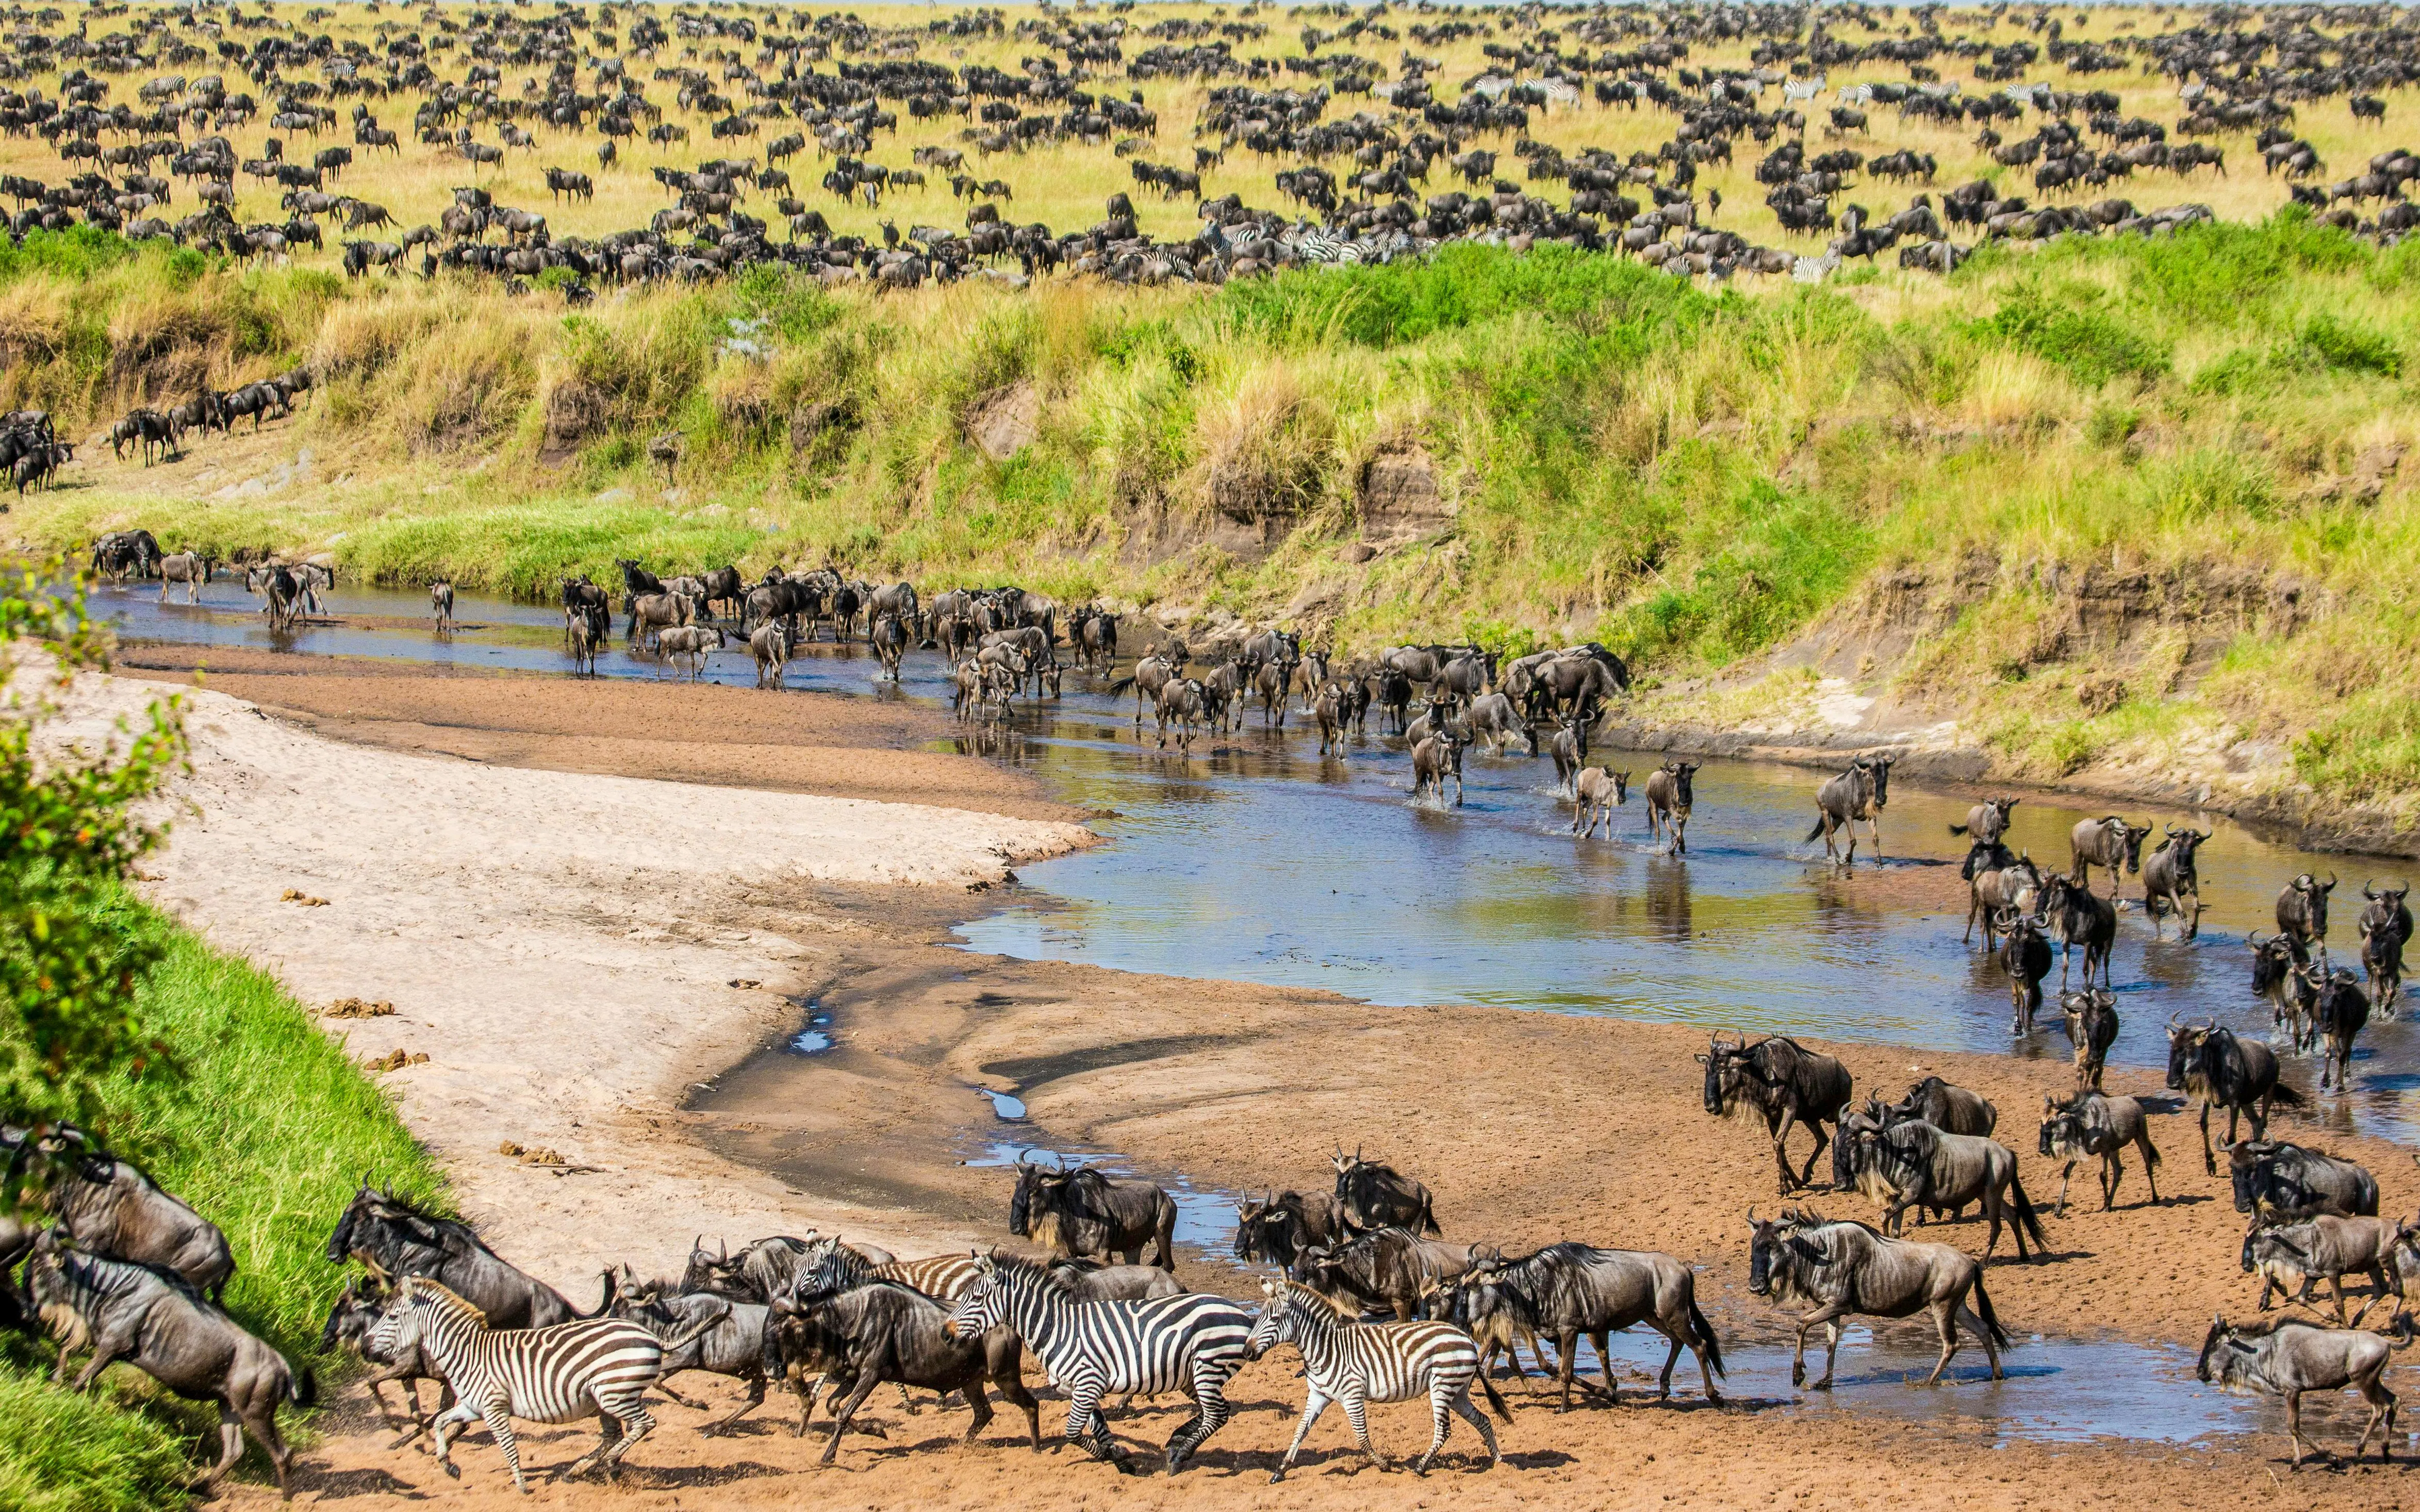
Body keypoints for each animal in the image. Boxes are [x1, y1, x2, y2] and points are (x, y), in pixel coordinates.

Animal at [367, 1276, 677, 1493]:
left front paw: (522, 1485)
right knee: (613, 1435)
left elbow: (508, 1447)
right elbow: (441, 1422)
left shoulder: (494, 1408)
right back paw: (580, 1470)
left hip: (614, 1394)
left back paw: (610, 1463)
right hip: (603, 1399)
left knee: (644, 1424)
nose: (366, 1345)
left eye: (392, 1316)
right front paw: (448, 1466)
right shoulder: (473, 1407)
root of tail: (651, 1336)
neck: (467, 1352)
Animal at [943, 1252, 1250, 1474]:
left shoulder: (1088, 1383)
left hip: (1207, 1368)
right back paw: (1177, 1442)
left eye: (977, 1298)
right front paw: (1120, 1459)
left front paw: (1117, 1455)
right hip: (1190, 1375)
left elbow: (1071, 1433)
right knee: (1217, 1411)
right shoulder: (1078, 1388)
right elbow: (1099, 1429)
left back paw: (1179, 1456)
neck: (1058, 1328)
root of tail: (1240, 1313)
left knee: (1217, 1414)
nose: (945, 1335)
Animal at [1244, 1280, 1506, 1483]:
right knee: (1483, 1420)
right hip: (1457, 1391)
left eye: (1275, 1319)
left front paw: (1383, 1465)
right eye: (1260, 1317)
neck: (1326, 1349)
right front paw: (1281, 1470)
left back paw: (1420, 1468)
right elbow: (1300, 1430)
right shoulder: (1319, 1395)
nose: (1246, 1352)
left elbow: (1361, 1436)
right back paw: (1501, 1464)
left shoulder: (1353, 1395)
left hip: (1442, 1386)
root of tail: (1466, 1338)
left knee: (1444, 1430)